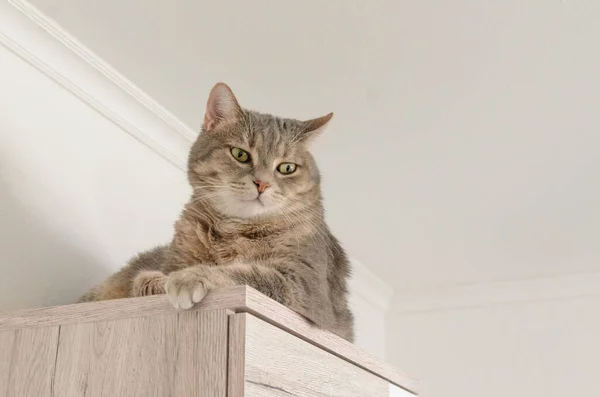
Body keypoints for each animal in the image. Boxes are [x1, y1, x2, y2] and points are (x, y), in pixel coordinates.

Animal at [77, 83, 354, 340]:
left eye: (287, 168)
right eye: (240, 154)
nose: (262, 183)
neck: (232, 230)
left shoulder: (304, 284)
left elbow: (247, 274)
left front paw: (189, 277)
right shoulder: (171, 261)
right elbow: (146, 279)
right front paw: (157, 280)